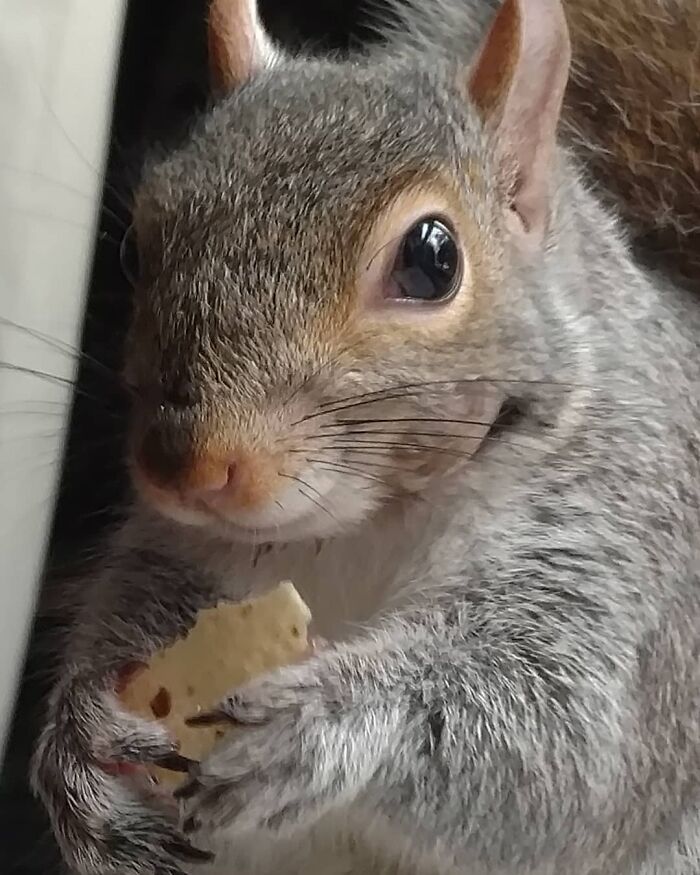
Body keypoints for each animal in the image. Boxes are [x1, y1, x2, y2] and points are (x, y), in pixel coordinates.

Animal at [31, 0, 700, 873]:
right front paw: (81, 734)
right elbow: (130, 606)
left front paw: (326, 718)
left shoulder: (629, 552)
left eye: (432, 259)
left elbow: (569, 744)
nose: (189, 469)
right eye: (135, 249)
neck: (368, 523)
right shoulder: (181, 547)